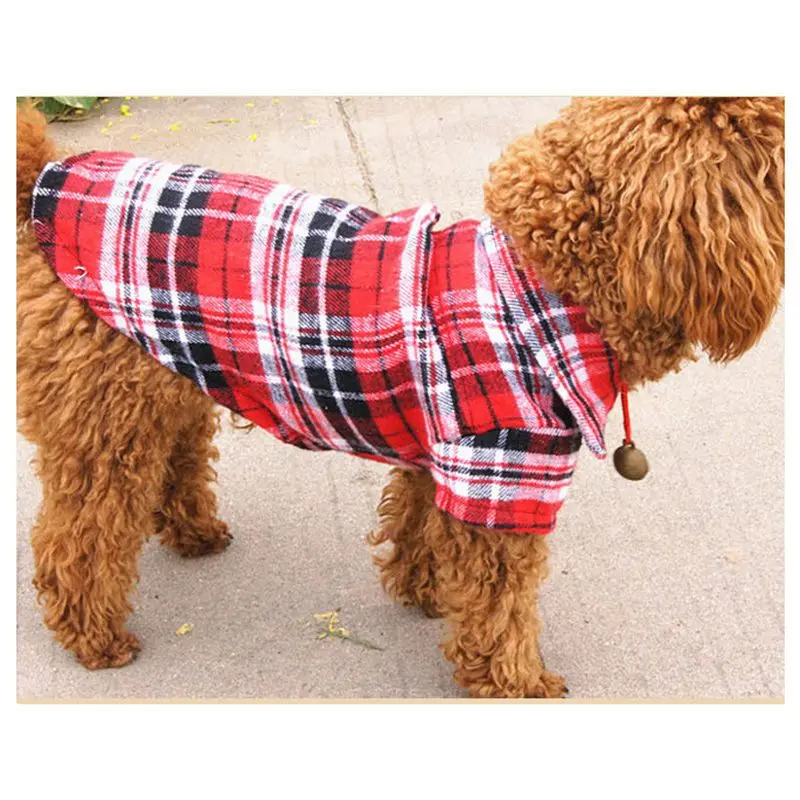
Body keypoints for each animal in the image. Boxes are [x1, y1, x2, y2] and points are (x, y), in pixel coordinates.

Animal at [16, 98, 784, 698]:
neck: (554, 279)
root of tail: (49, 177)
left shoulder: (443, 450)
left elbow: (422, 525)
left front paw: (426, 592)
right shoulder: (505, 469)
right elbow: (502, 599)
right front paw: (517, 681)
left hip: (165, 375)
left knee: (173, 463)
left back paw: (195, 534)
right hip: (102, 415)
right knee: (78, 535)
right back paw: (94, 636)